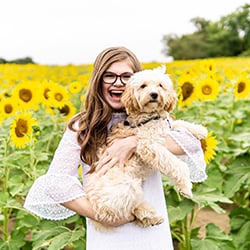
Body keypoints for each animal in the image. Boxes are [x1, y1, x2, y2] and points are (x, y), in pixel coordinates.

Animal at [84, 66, 207, 230]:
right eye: (143, 86)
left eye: (160, 85)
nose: (154, 94)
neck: (151, 117)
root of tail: (93, 202)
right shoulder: (148, 144)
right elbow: (178, 165)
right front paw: (186, 187)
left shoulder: (166, 127)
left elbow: (179, 123)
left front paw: (200, 130)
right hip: (126, 186)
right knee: (123, 208)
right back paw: (149, 215)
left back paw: (151, 217)